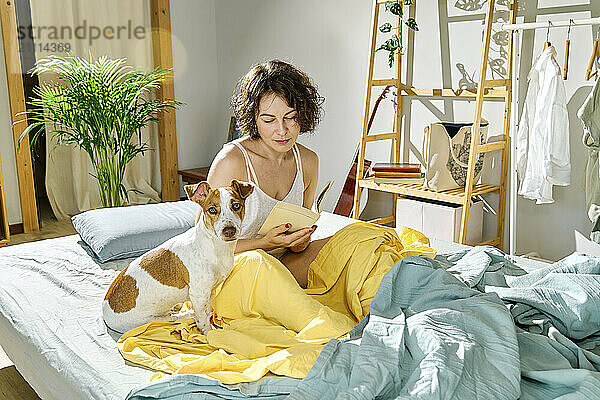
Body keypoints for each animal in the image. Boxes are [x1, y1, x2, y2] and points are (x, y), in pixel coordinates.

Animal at [103, 180, 253, 332]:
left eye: (236, 206)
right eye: (212, 210)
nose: (229, 231)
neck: (215, 247)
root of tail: (105, 310)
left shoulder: (210, 291)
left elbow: (207, 310)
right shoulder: (199, 293)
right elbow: (203, 320)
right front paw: (208, 333)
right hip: (151, 320)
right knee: (174, 317)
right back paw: (186, 314)